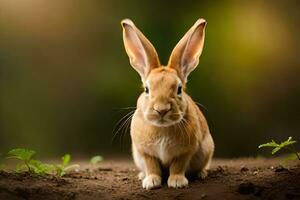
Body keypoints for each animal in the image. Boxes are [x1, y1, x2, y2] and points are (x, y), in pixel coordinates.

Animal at [120, 18, 214, 189]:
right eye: (146, 89)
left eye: (179, 89)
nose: (161, 109)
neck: (162, 127)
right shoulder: (145, 152)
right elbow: (152, 166)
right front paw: (151, 182)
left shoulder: (185, 152)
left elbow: (178, 166)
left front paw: (177, 182)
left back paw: (202, 174)